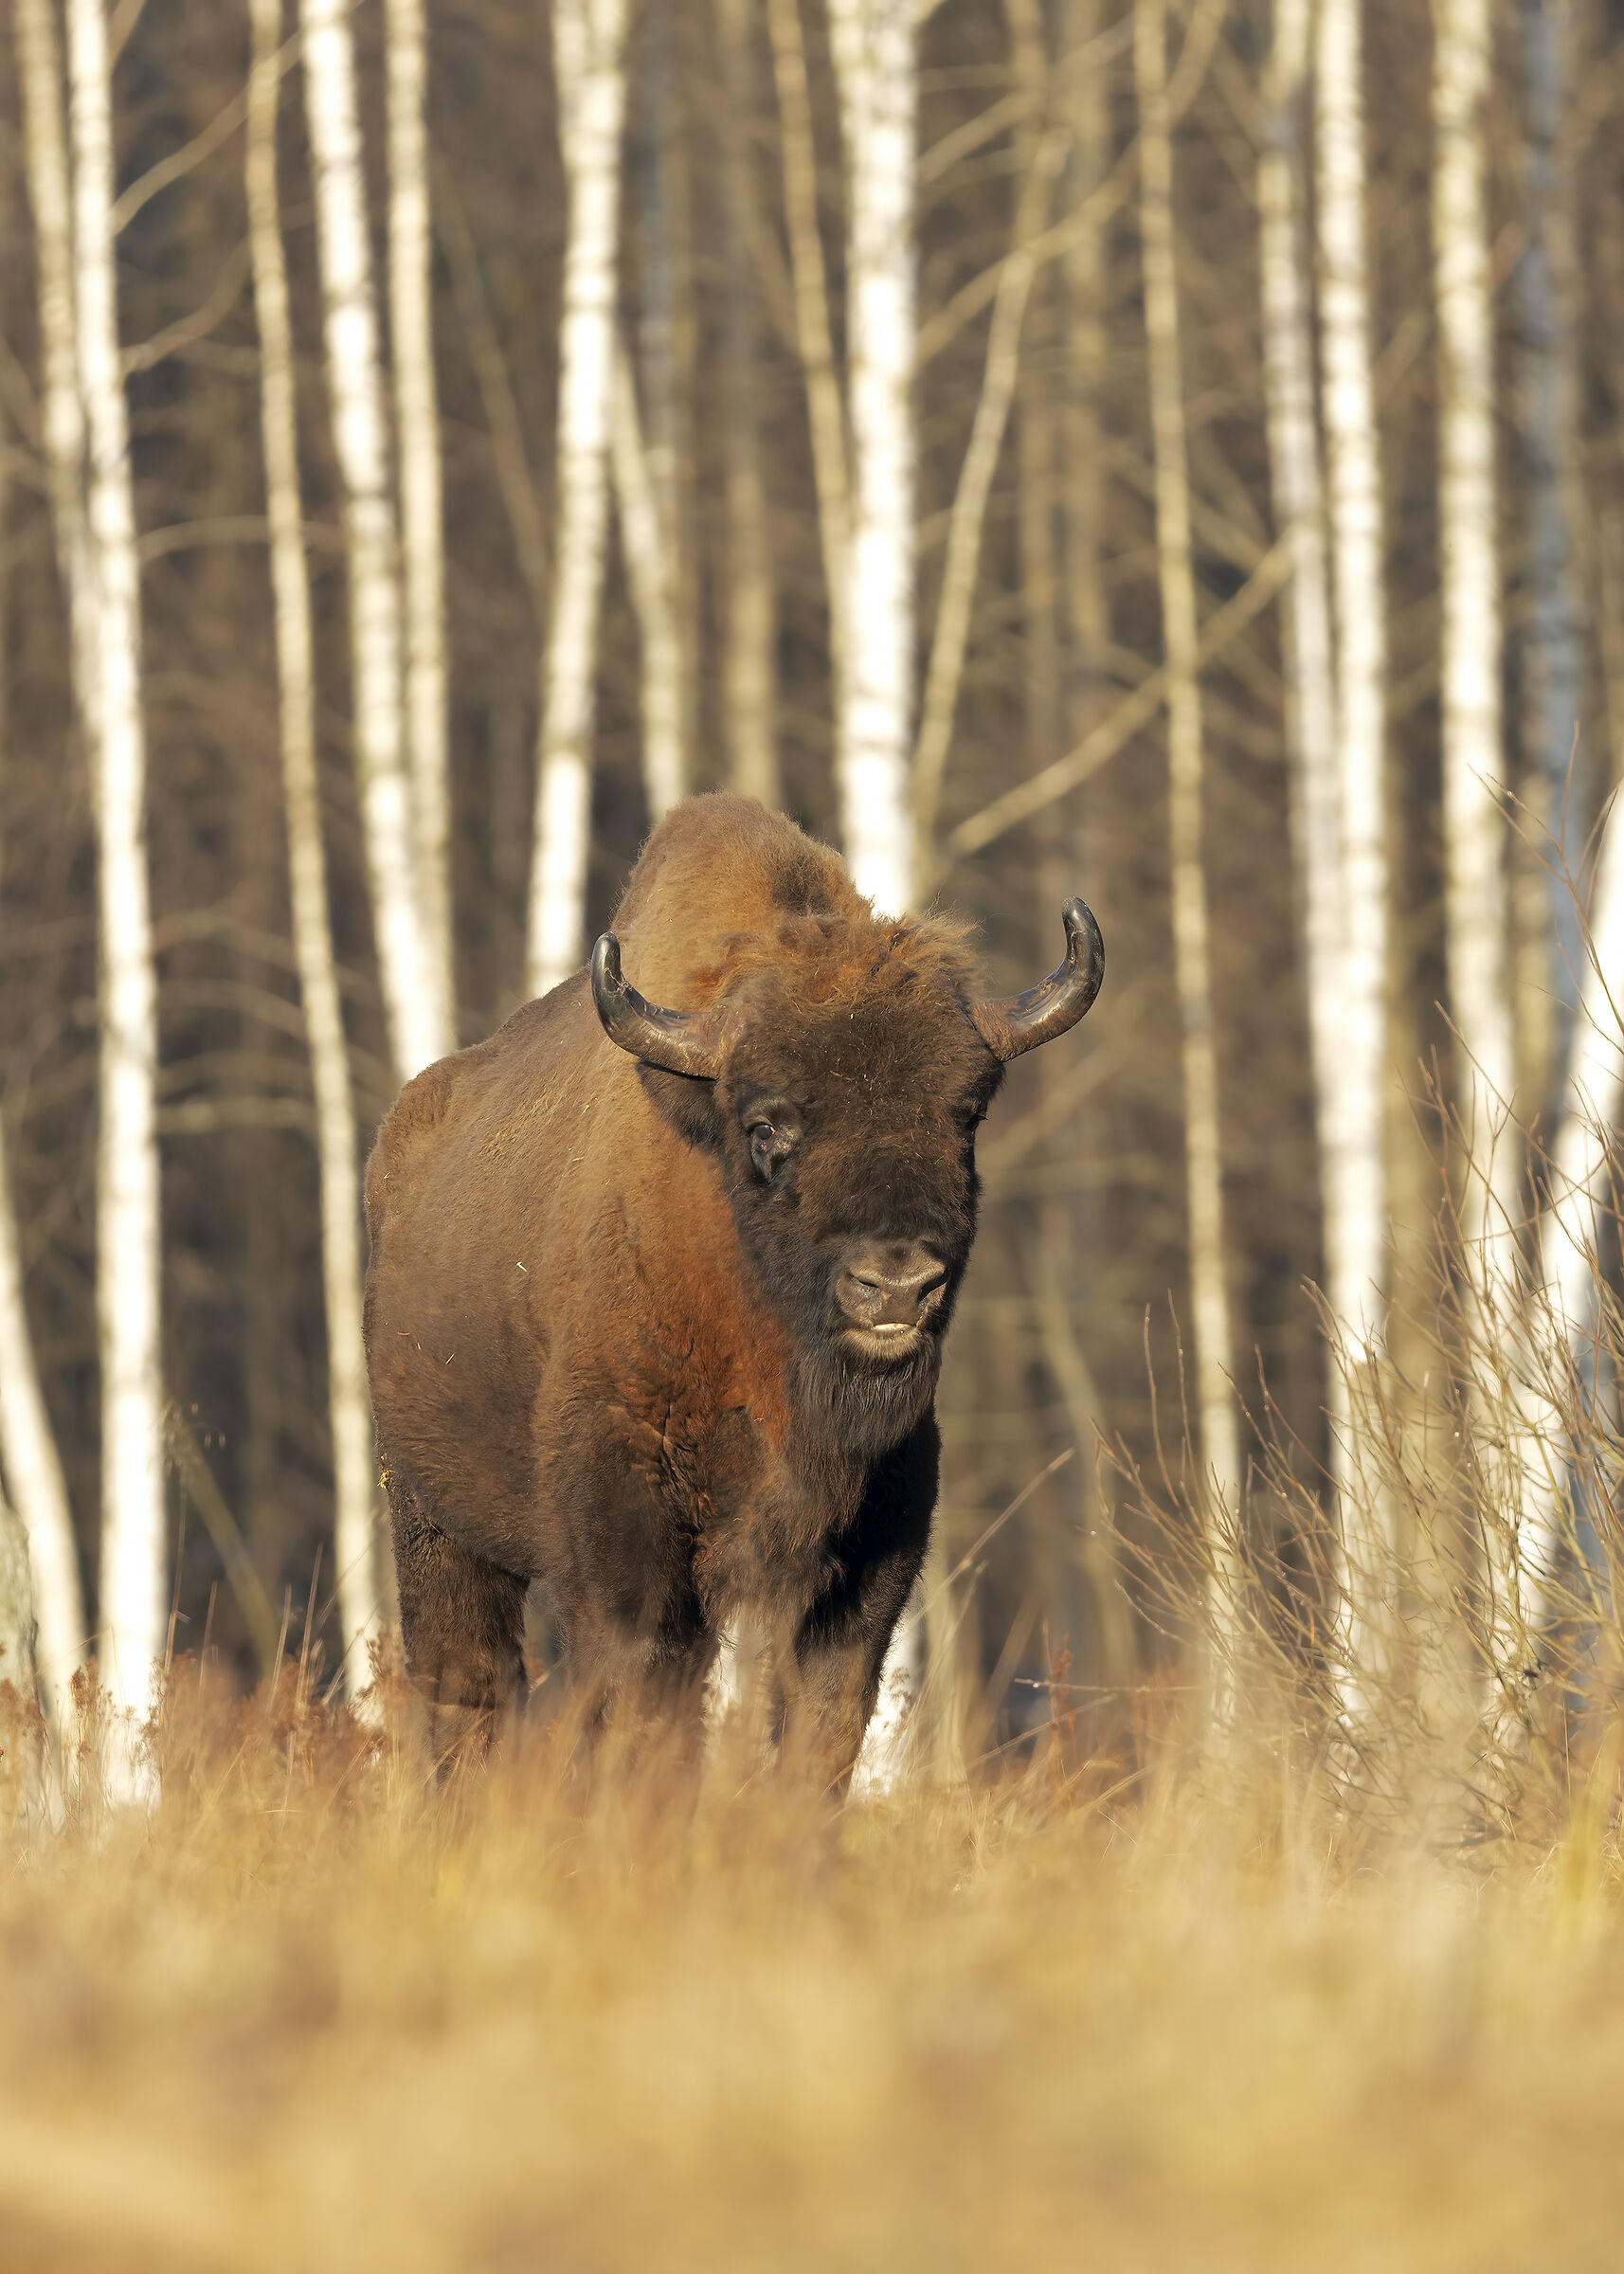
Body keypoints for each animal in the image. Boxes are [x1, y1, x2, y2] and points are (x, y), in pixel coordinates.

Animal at [364, 794, 1103, 1786]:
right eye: (765, 1125)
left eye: (965, 1114)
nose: (895, 1288)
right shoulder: (626, 1531)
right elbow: (642, 1706)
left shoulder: (870, 1549)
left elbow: (820, 1726)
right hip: (435, 1521)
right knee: (470, 1689)